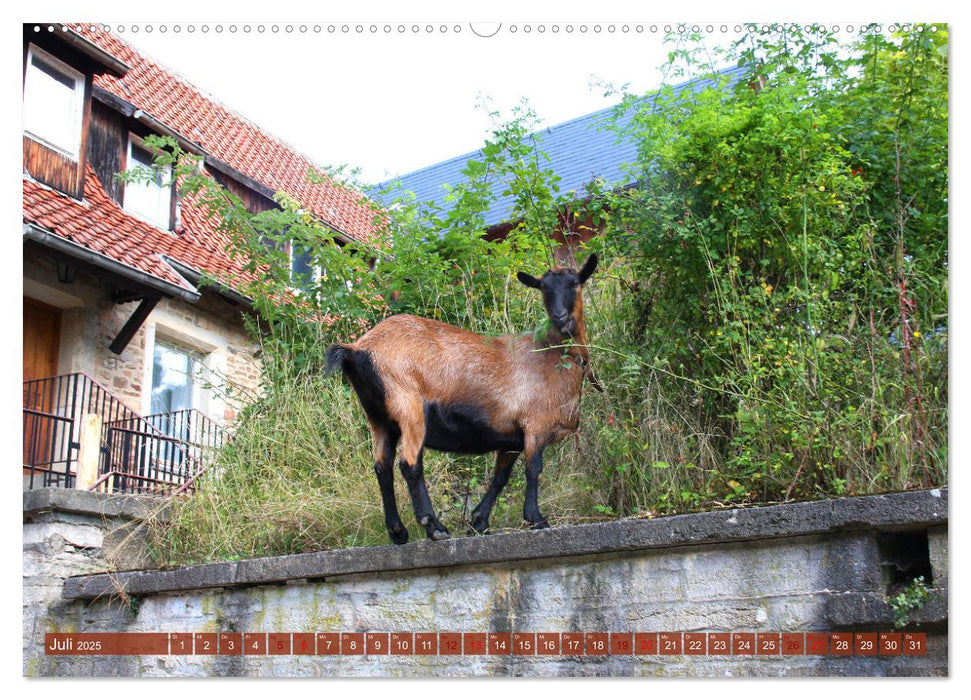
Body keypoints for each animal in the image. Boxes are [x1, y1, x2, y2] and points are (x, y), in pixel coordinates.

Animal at [326, 254, 600, 544]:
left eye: (575, 283)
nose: (560, 317)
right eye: (544, 288)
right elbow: (533, 469)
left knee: (382, 467)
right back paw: (434, 526)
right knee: (409, 463)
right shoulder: (535, 425)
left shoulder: (511, 436)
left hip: (378, 417)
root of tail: (357, 350)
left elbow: (500, 477)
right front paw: (536, 519)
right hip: (409, 406)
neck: (552, 353)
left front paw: (479, 521)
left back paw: (398, 532)